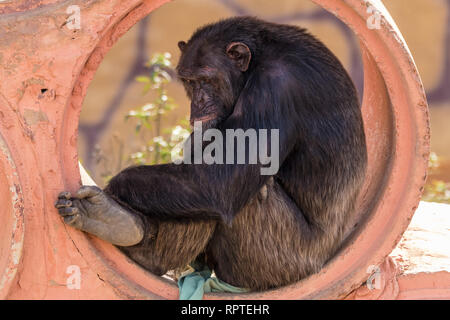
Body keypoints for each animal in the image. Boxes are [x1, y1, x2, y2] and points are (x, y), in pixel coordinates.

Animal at [54, 17, 368, 292]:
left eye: (206, 80)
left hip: (281, 261)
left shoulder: (275, 87)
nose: (199, 102)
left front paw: (112, 190)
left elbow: (218, 182)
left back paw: (140, 247)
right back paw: (115, 223)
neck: (260, 60)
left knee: (233, 193)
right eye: (189, 82)